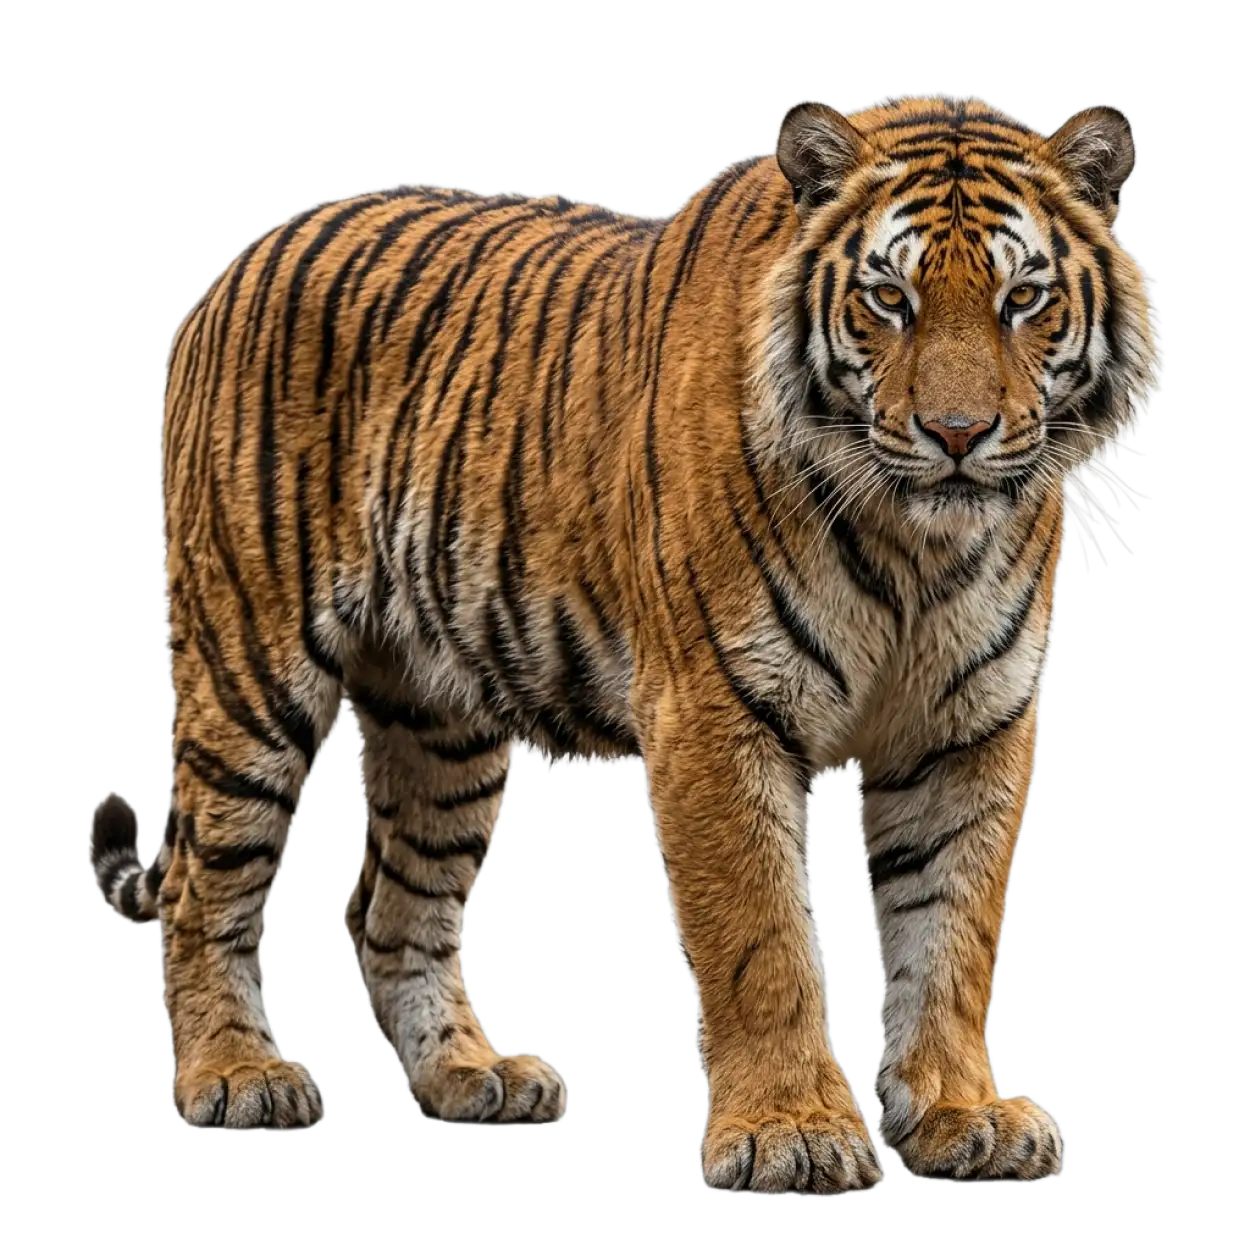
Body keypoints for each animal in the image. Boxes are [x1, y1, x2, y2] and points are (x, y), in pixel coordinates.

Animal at [89, 92, 1162, 1191]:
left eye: (1023, 298)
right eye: (887, 298)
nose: (956, 434)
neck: (917, 546)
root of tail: (243, 258)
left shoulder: (967, 727)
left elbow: (950, 936)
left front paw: (958, 1115)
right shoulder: (714, 710)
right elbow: (761, 939)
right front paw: (790, 1130)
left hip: (441, 721)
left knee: (392, 909)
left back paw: (470, 1075)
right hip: (247, 671)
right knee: (203, 889)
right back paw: (235, 1076)